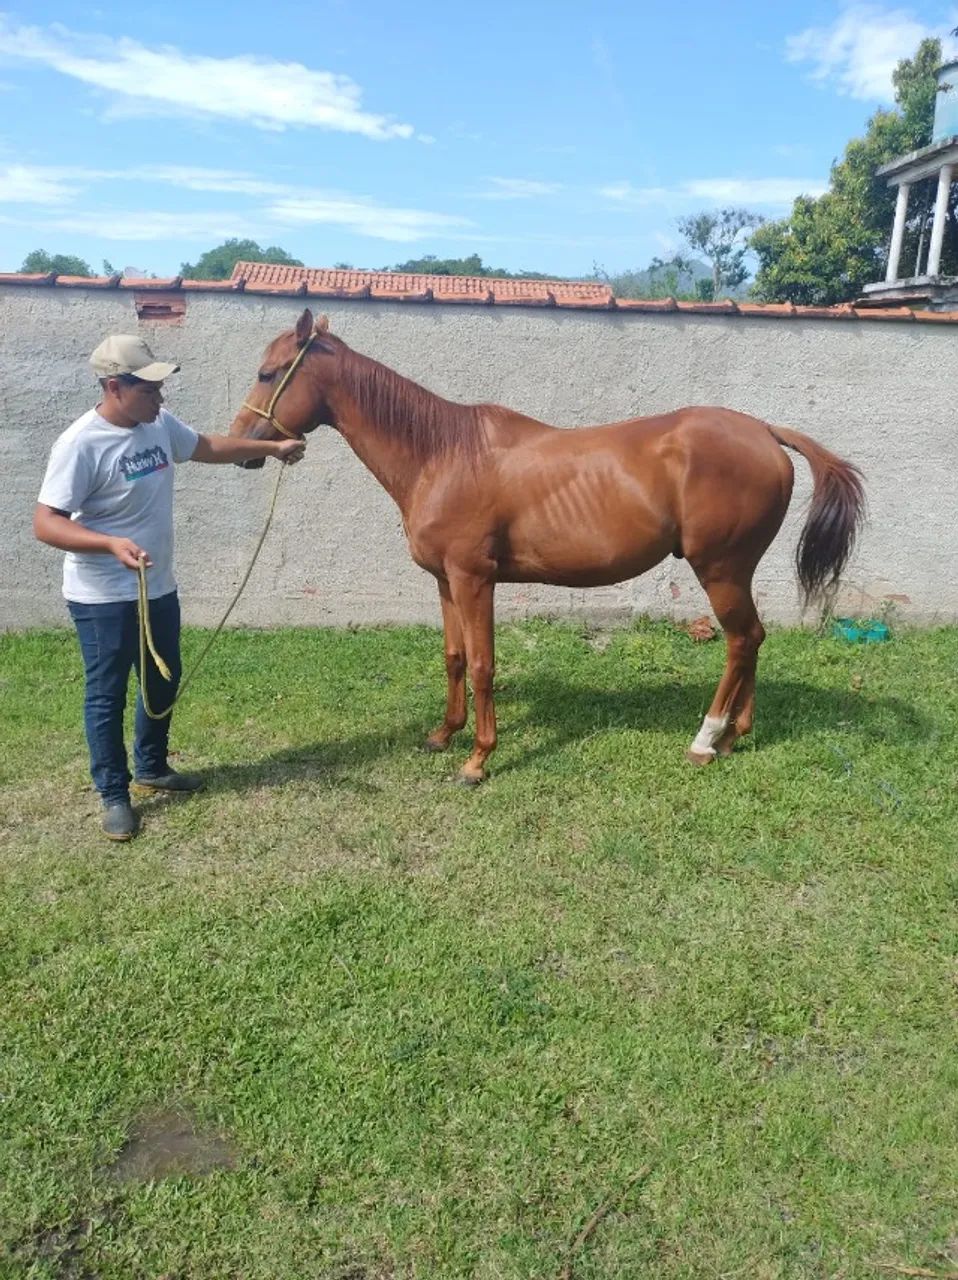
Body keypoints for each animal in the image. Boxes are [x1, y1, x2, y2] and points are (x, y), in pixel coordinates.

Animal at [228, 308, 864, 783]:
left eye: (268, 373)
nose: (242, 446)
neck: (443, 454)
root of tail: (765, 432)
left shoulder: (474, 579)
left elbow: (482, 664)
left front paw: (478, 759)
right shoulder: (445, 581)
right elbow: (453, 658)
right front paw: (443, 733)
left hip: (720, 570)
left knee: (739, 641)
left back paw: (706, 739)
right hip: (737, 571)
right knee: (754, 639)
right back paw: (736, 735)